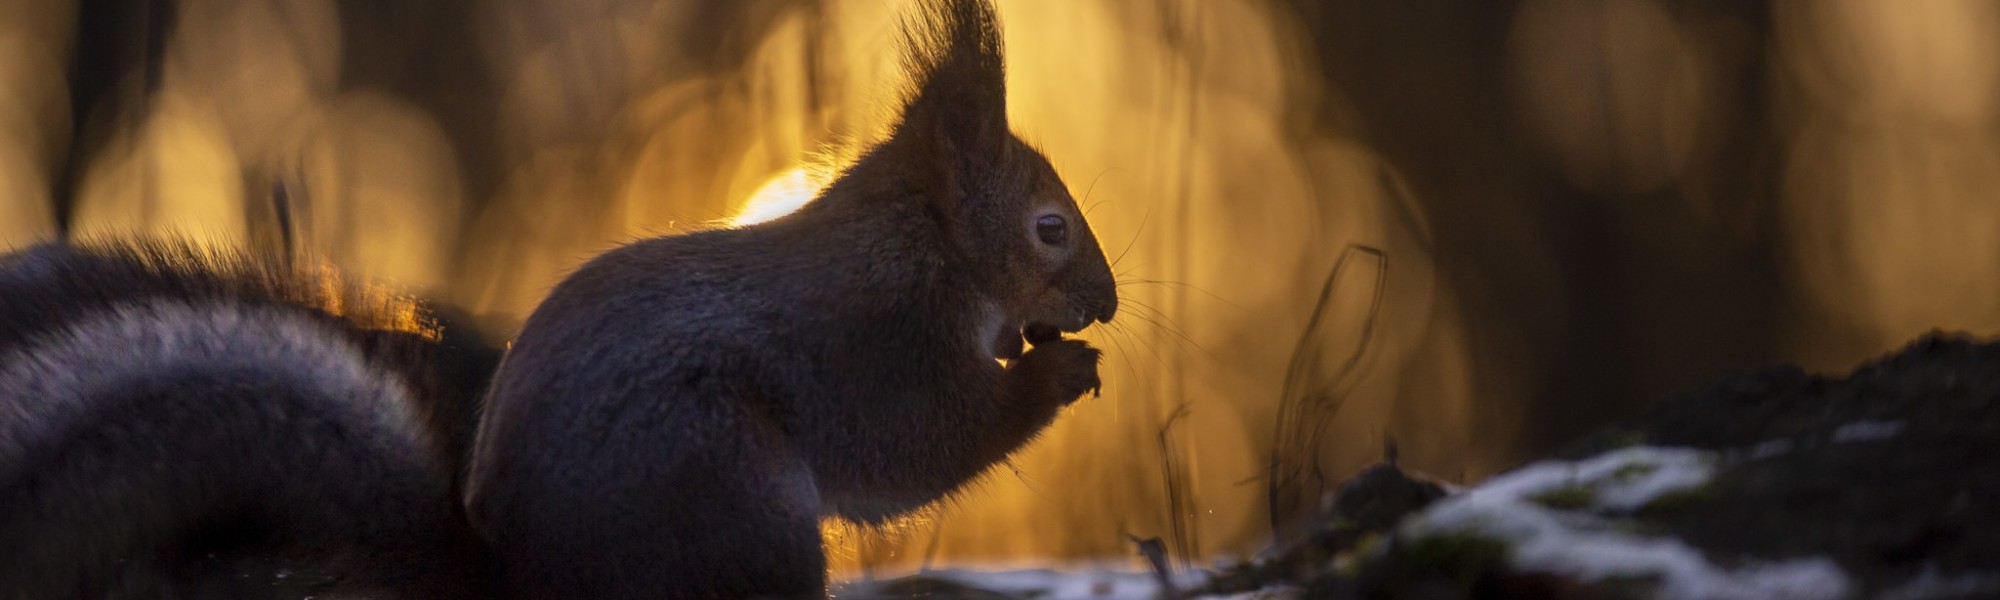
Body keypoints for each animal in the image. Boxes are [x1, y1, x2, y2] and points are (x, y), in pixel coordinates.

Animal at [464, 0, 1128, 596]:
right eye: (1051, 228)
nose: (1107, 303)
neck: (918, 242)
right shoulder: (884, 344)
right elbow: (928, 442)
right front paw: (1060, 370)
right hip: (731, 493)